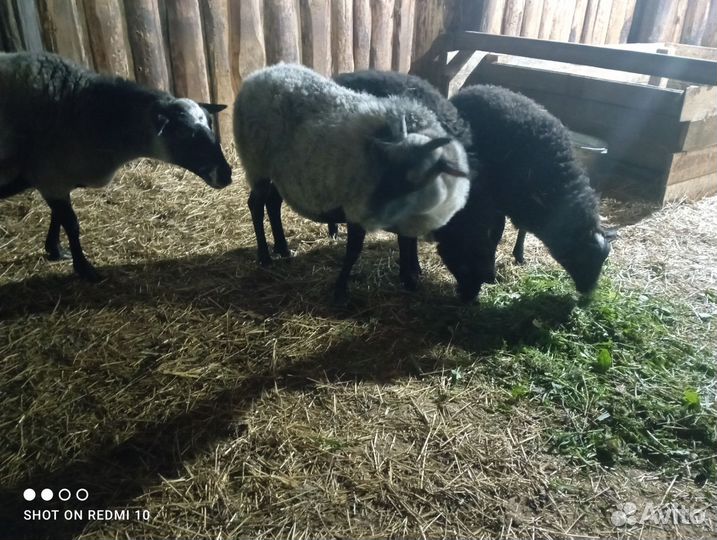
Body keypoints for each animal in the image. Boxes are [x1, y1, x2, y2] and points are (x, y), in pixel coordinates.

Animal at [0, 52, 232, 282]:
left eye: (210, 123)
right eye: (182, 132)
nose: (226, 174)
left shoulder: (56, 176)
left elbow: (57, 218)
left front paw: (55, 250)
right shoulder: (50, 176)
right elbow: (71, 224)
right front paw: (85, 269)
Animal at [232, 63, 470, 303]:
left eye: (412, 178)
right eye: (388, 166)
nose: (373, 210)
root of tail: (259, 74)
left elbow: (405, 245)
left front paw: (410, 279)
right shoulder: (356, 208)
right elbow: (354, 250)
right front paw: (340, 290)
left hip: (277, 170)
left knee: (272, 203)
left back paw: (282, 249)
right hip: (256, 163)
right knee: (256, 204)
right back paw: (264, 256)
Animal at [451, 84, 613, 296]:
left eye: (603, 260)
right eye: (580, 257)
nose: (588, 292)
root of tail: (470, 88)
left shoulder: (525, 205)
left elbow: (523, 230)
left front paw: (519, 255)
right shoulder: (498, 201)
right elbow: (496, 232)